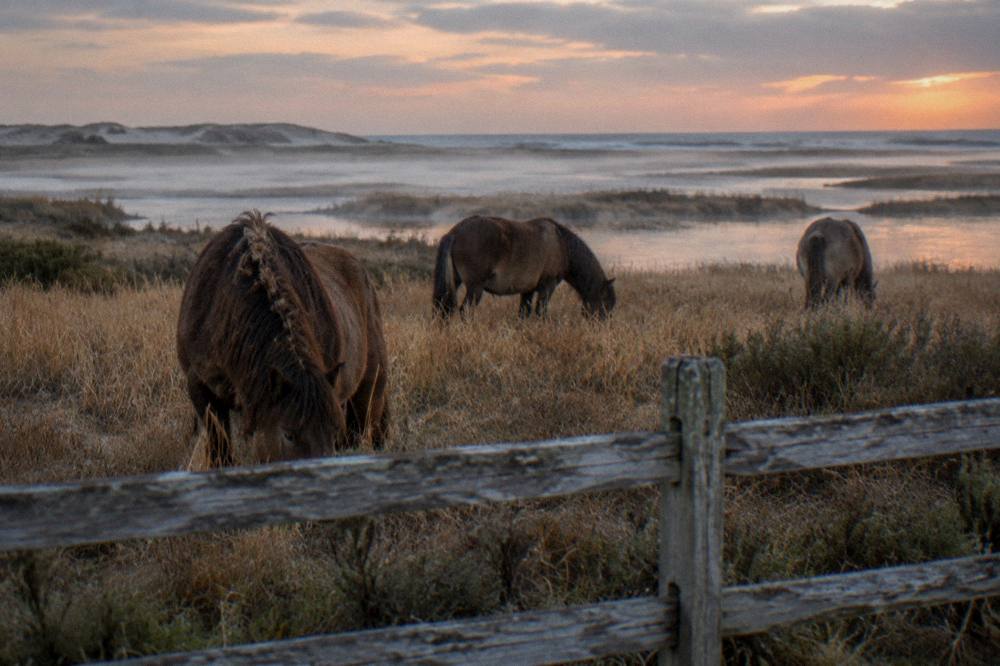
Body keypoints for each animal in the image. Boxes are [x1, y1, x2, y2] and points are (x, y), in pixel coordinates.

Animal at [432, 215, 616, 319]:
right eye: (605, 305)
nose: (603, 328)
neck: (561, 244)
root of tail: (455, 232)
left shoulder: (528, 290)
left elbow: (523, 314)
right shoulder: (547, 286)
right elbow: (541, 312)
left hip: (455, 282)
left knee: (442, 309)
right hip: (475, 287)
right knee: (465, 311)